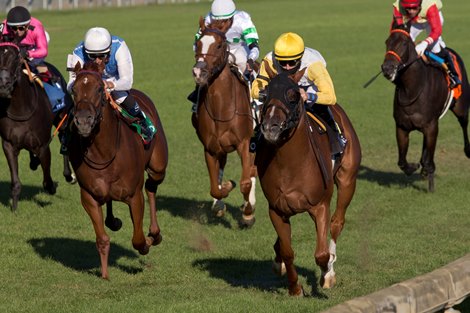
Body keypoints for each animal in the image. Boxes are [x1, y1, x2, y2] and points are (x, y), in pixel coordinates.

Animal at [0, 40, 74, 210]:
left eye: (16, 58)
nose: (3, 84)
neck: (20, 108)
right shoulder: (8, 144)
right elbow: (15, 182)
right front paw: (14, 208)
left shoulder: (43, 145)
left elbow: (47, 181)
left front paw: (52, 187)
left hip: (63, 117)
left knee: (64, 139)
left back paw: (69, 175)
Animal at [68, 61, 167, 278]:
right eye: (74, 90)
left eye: (99, 88)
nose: (84, 121)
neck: (103, 152)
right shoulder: (89, 196)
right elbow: (102, 239)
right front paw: (105, 275)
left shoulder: (134, 196)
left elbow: (138, 240)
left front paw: (148, 241)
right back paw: (114, 221)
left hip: (158, 166)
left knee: (151, 187)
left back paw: (155, 233)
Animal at [192, 17, 258, 224]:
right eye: (198, 43)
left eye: (220, 45)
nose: (199, 72)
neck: (222, 108)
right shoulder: (210, 148)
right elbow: (215, 186)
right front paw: (225, 190)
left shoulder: (244, 143)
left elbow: (245, 182)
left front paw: (248, 212)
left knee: (252, 171)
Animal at [255, 66, 362, 294]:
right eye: (265, 94)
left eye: (294, 96)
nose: (270, 127)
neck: (291, 165)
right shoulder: (276, 209)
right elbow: (287, 251)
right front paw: (295, 288)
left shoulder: (320, 205)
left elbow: (321, 254)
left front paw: (326, 274)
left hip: (348, 180)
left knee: (337, 223)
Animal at [382, 25, 470, 191]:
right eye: (387, 42)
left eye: (404, 43)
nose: (387, 68)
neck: (411, 89)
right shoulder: (402, 127)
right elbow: (402, 161)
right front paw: (414, 167)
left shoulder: (431, 126)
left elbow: (430, 158)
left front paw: (429, 177)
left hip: (460, 107)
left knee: (464, 123)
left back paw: (467, 150)